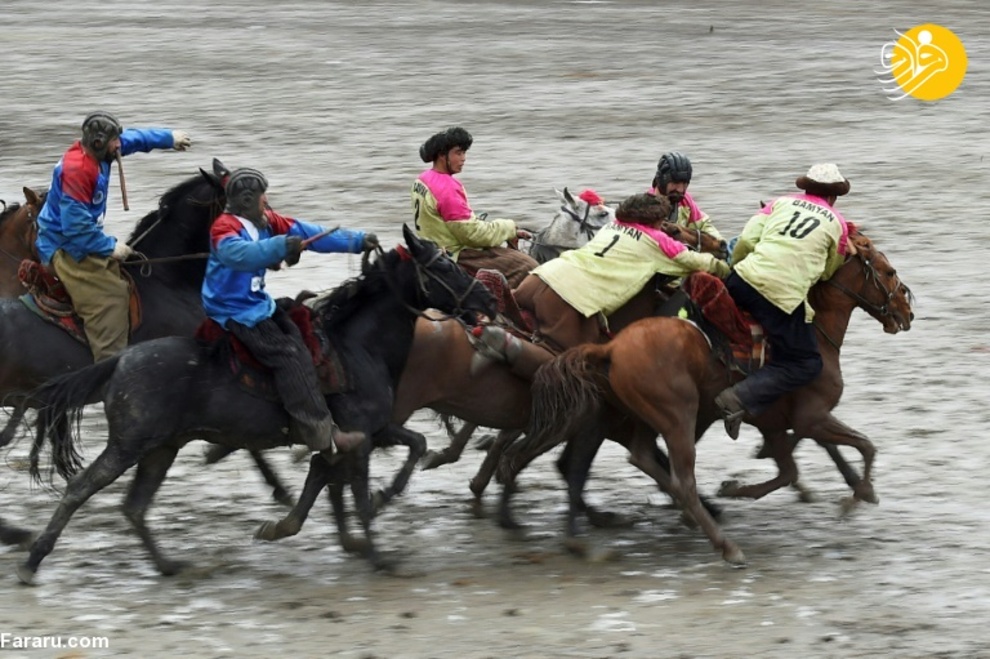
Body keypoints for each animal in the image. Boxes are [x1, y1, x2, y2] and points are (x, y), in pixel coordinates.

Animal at [21, 226, 504, 584]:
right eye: (442, 265)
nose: (488, 299)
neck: (357, 346)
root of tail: (121, 358)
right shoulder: (360, 440)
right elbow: (355, 493)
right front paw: (378, 551)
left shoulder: (369, 432)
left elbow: (408, 448)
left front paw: (295, 526)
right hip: (129, 444)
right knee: (80, 488)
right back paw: (33, 560)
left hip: (161, 448)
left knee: (134, 507)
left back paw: (167, 564)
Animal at [504, 229, 916, 564]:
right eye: (888, 271)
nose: (907, 311)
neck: (816, 334)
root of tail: (612, 347)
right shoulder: (810, 418)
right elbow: (863, 446)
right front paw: (858, 495)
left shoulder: (772, 423)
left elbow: (791, 469)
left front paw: (735, 488)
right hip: (679, 417)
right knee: (679, 479)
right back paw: (725, 545)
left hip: (649, 416)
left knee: (642, 457)